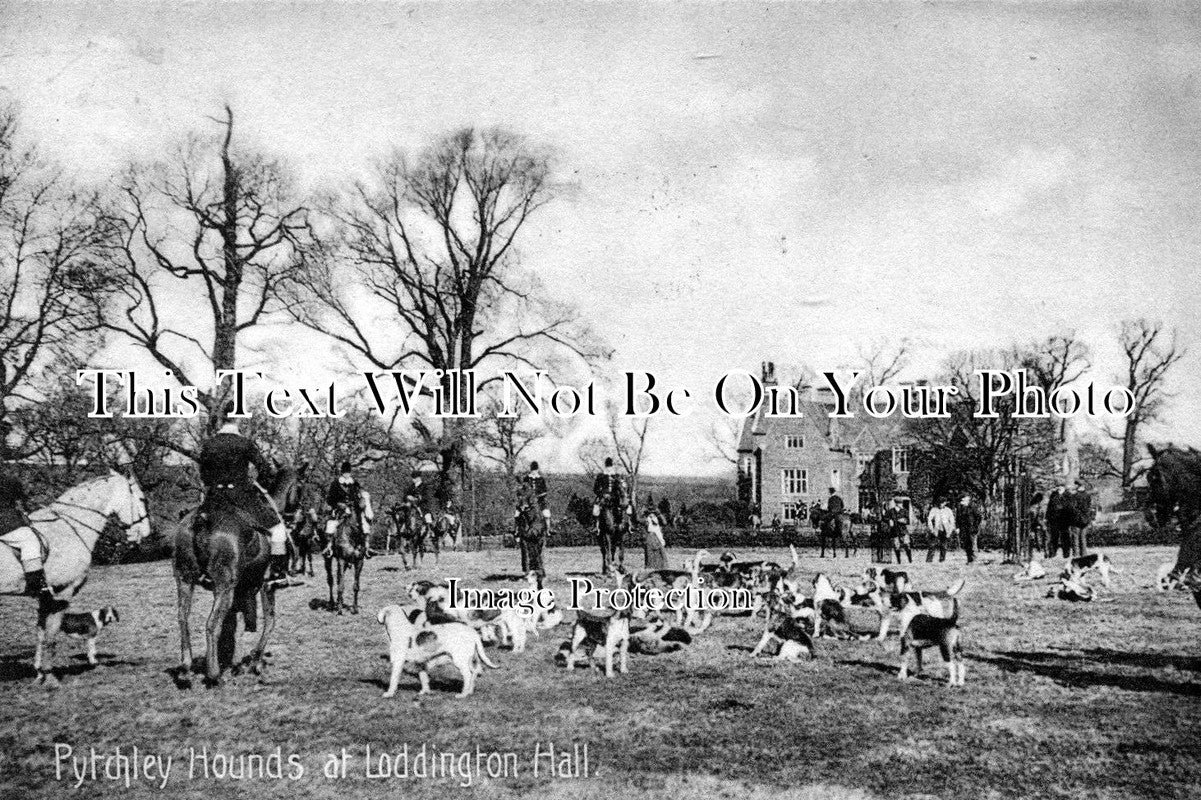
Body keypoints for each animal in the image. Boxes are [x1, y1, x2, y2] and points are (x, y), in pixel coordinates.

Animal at [0, 470, 150, 682]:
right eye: (141, 498)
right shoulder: (62, 594)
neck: (69, 527)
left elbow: (40, 634)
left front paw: (39, 673)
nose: (146, 532)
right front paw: (51, 678)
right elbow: (51, 637)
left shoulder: (46, 598)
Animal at [172, 468, 296, 687]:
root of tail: (202, 518)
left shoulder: (242, 591)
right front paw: (255, 661)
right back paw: (214, 674)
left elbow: (236, 626)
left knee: (183, 618)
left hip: (185, 579)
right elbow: (269, 620)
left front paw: (237, 662)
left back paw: (186, 669)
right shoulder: (265, 585)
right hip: (224, 586)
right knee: (212, 624)